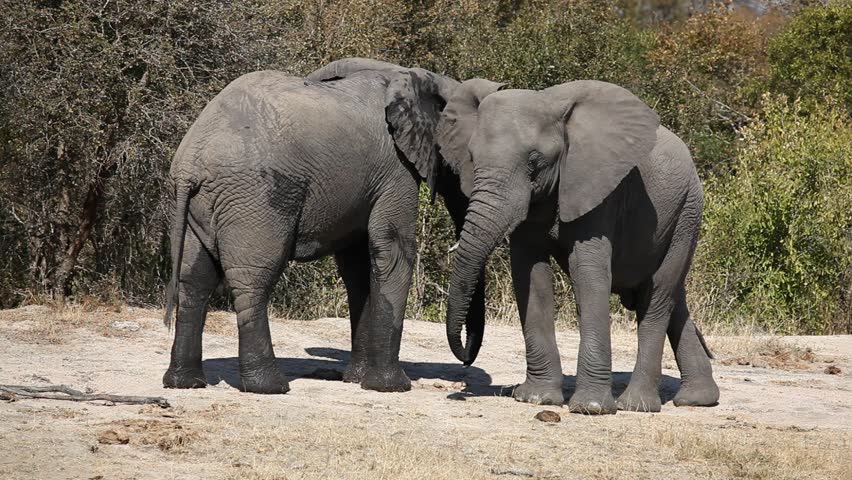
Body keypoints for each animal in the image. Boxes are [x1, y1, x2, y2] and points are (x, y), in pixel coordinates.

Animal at [162, 58, 487, 394]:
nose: (465, 362)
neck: (416, 78)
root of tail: (191, 161)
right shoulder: (396, 170)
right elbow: (394, 252)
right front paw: (392, 387)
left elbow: (358, 268)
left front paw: (356, 379)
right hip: (255, 198)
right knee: (253, 279)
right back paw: (270, 387)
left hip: (191, 203)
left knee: (194, 281)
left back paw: (185, 382)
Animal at [437, 78, 720, 414]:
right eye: (471, 157)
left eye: (535, 162)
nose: (465, 362)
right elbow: (530, 276)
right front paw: (537, 398)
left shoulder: (598, 186)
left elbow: (588, 275)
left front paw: (591, 408)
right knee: (673, 299)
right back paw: (697, 400)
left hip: (687, 213)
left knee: (658, 297)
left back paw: (636, 405)